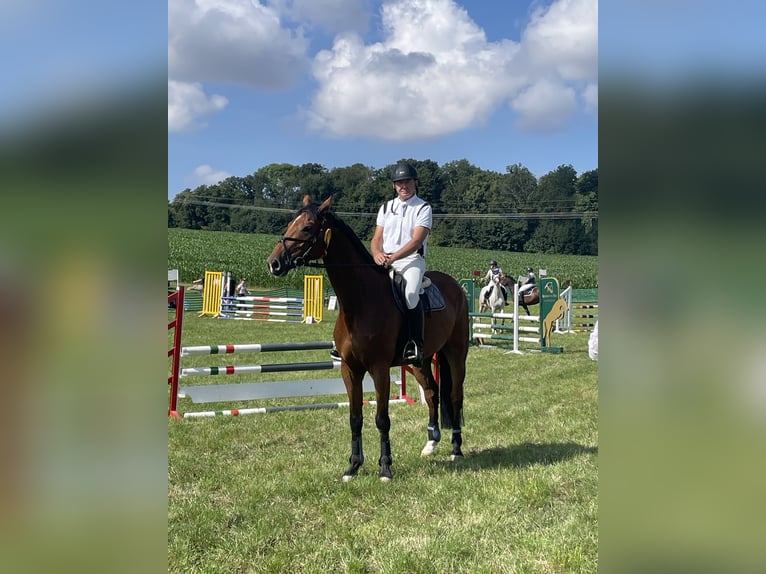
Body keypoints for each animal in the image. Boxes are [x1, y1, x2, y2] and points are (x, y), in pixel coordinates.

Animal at [266, 195, 469, 482]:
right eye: (289, 224)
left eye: (307, 227)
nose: (273, 263)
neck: (360, 301)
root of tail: (456, 287)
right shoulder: (350, 369)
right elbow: (355, 417)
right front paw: (353, 466)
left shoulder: (379, 369)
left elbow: (382, 419)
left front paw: (385, 468)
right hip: (421, 360)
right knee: (431, 393)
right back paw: (431, 444)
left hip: (456, 354)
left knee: (455, 396)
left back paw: (456, 450)